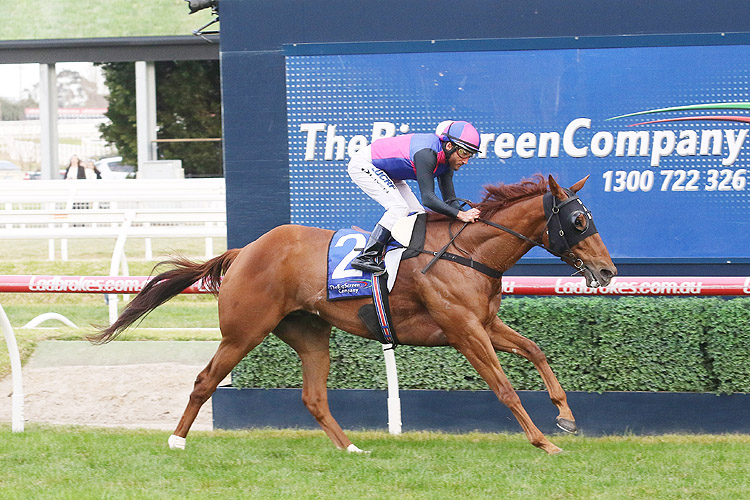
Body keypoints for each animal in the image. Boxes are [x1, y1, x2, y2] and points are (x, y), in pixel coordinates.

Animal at [89, 174, 616, 456]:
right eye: (579, 221)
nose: (608, 271)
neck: (467, 252)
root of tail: (244, 251)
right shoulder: (464, 330)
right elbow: (504, 387)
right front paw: (544, 442)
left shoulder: (484, 323)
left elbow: (537, 350)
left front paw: (565, 416)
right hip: (244, 332)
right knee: (204, 380)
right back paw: (177, 441)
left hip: (309, 333)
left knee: (313, 397)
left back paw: (350, 448)